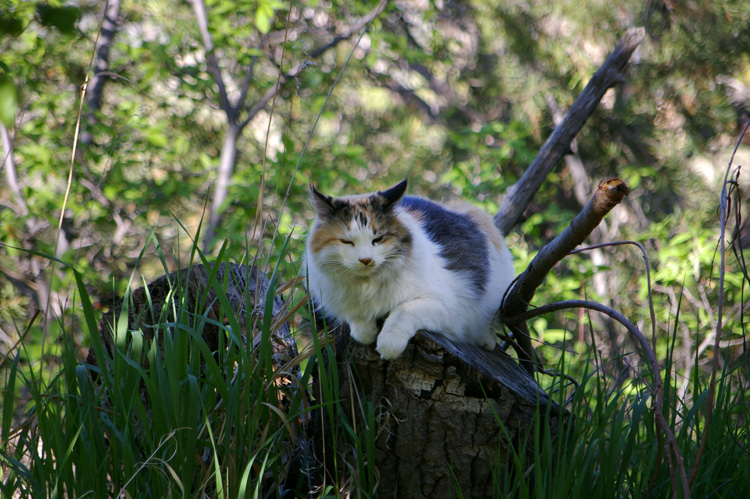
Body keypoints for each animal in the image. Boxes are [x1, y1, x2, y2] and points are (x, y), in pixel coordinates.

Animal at [306, 180, 516, 360]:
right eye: (347, 242)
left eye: (378, 239)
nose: (366, 260)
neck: (368, 287)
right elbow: (356, 320)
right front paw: (367, 332)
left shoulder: (446, 306)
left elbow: (403, 311)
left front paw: (388, 343)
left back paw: (486, 340)